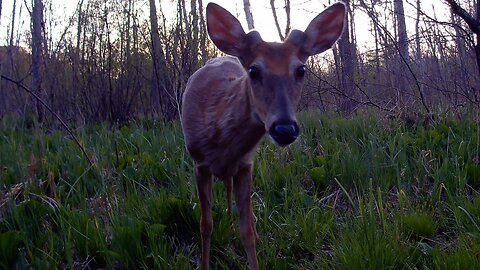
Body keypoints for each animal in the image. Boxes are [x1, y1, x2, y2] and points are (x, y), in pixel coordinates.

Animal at [181, 2, 344, 270]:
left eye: (301, 69)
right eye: (254, 70)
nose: (284, 129)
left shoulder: (245, 164)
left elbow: (246, 230)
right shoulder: (199, 164)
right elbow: (205, 226)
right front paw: (203, 264)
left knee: (243, 210)